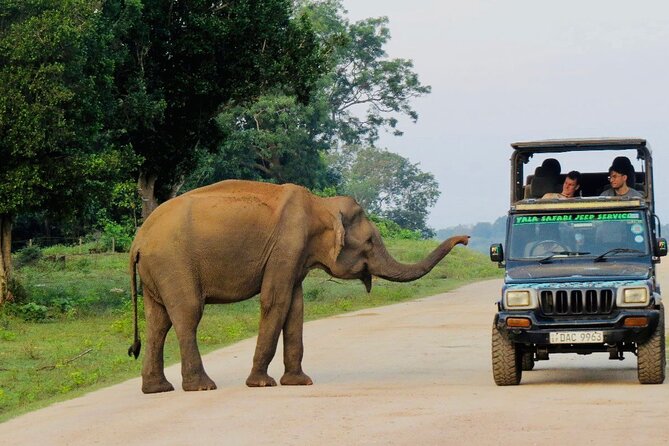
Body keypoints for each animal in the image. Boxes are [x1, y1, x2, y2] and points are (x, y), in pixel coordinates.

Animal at [127, 179, 469, 393]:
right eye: (371, 241)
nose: (465, 238)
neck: (321, 204)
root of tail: (137, 242)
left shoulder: (297, 255)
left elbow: (296, 306)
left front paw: (299, 382)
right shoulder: (287, 245)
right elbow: (276, 301)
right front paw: (262, 384)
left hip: (157, 271)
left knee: (158, 322)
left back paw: (157, 389)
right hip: (174, 263)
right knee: (187, 315)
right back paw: (201, 387)